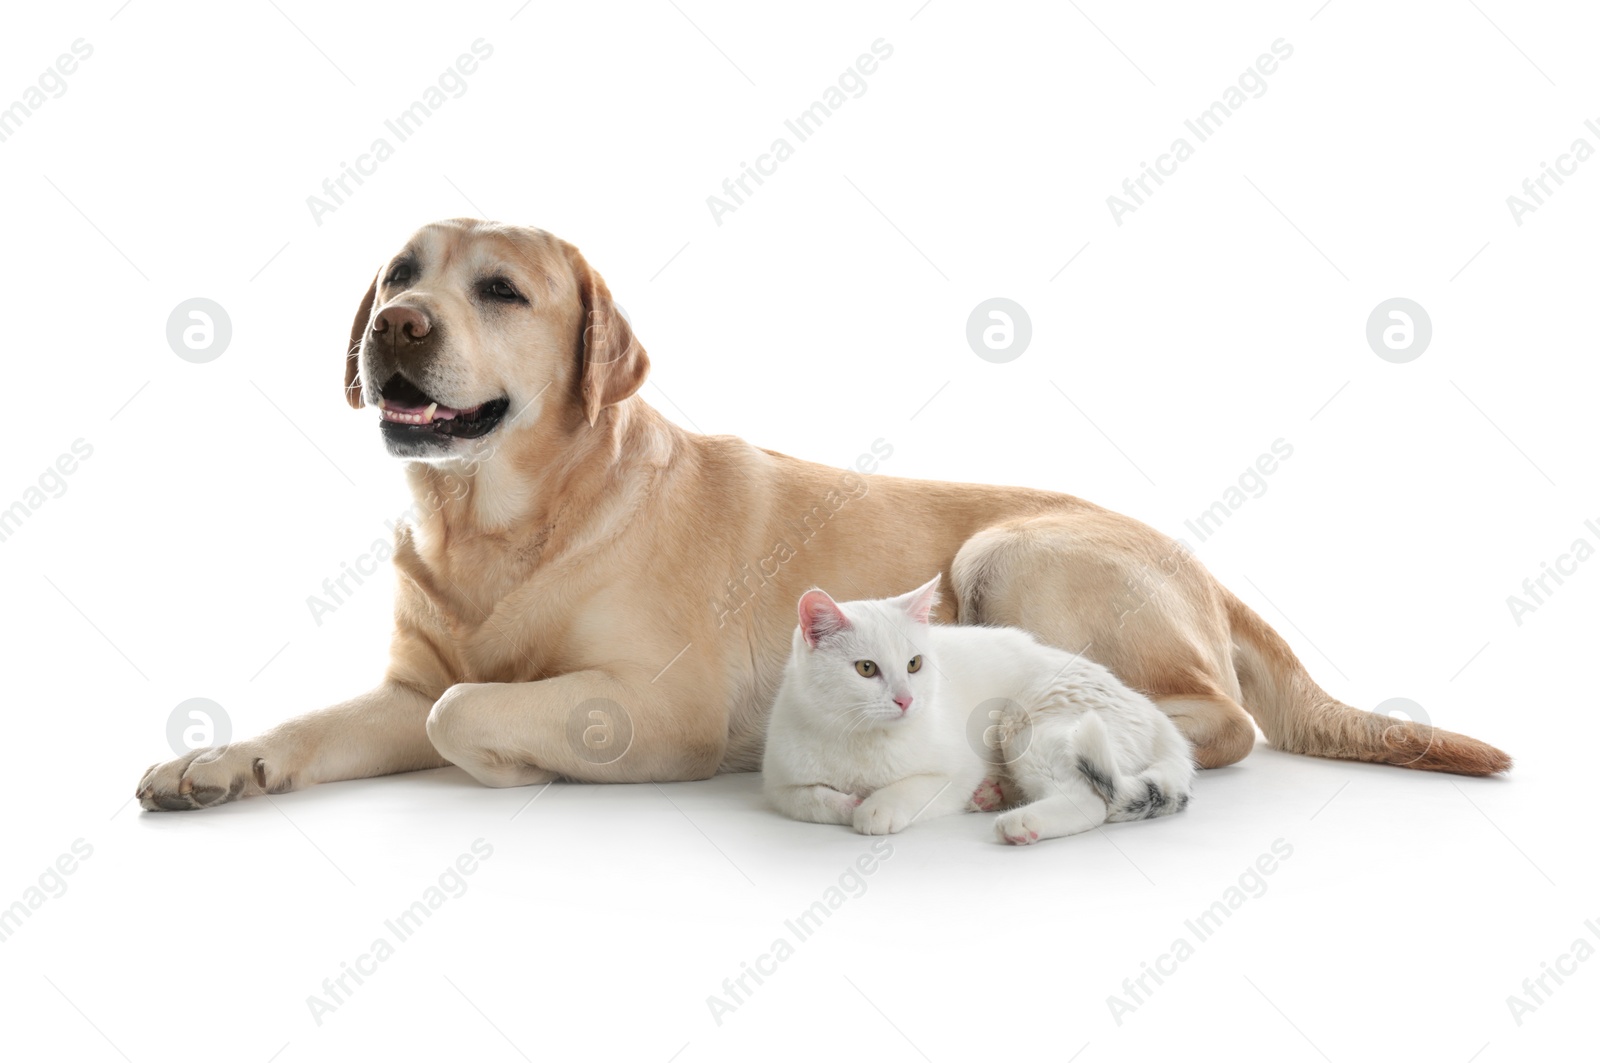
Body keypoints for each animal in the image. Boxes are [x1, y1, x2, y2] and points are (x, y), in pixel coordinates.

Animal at [134, 219, 1497, 810]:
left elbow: (469, 711)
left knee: (1218, 722)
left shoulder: (655, 708)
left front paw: (519, 768)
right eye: (400, 275)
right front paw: (219, 759)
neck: (501, 521)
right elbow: (332, 719)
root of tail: (1206, 562)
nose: (394, 327)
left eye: (500, 290)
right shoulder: (404, 683)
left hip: (1008, 548)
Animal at [764, 576, 1203, 845]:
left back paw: (1020, 822)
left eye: (914, 664)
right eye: (866, 669)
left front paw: (875, 807)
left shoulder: (954, 771)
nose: (906, 699)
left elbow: (912, 787)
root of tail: (1155, 715)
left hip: (1025, 726)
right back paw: (991, 796)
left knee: (1092, 800)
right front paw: (848, 803)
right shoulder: (779, 785)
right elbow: (813, 800)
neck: (860, 736)